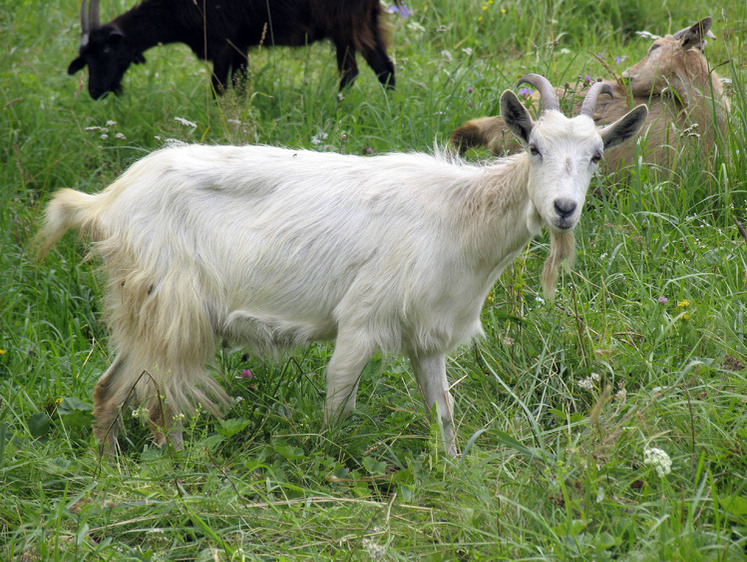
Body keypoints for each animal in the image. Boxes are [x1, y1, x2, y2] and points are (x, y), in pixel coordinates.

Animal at [38, 72, 644, 452]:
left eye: (596, 156)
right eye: (534, 148)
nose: (563, 209)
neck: (456, 218)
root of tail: (107, 201)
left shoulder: (427, 337)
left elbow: (443, 411)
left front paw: (451, 470)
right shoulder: (361, 321)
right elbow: (337, 407)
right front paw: (330, 465)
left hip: (140, 310)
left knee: (111, 388)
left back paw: (108, 467)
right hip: (172, 306)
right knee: (163, 398)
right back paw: (177, 468)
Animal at [69, 0, 398, 98]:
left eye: (106, 51)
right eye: (84, 59)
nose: (95, 91)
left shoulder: (223, 44)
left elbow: (219, 89)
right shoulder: (240, 48)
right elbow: (240, 87)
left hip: (346, 23)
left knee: (355, 71)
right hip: (365, 21)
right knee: (380, 68)